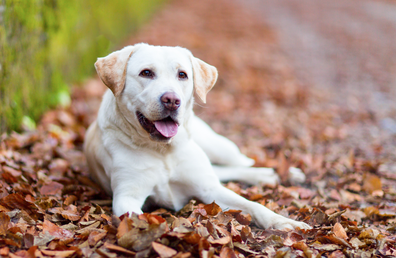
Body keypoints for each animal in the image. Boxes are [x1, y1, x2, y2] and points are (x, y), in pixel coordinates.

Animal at [85, 42, 310, 230]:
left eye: (182, 75)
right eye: (146, 73)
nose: (171, 100)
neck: (163, 151)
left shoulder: (209, 189)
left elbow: (253, 205)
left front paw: (284, 222)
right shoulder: (127, 196)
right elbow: (139, 218)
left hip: (218, 147)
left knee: (243, 161)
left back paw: (282, 172)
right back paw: (271, 175)